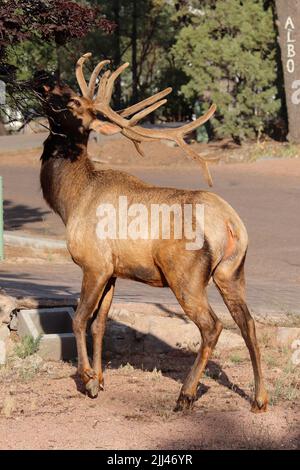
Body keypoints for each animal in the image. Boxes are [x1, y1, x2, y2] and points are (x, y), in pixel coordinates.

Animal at [32, 54, 268, 412]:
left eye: (72, 101)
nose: (42, 76)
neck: (69, 199)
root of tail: (231, 224)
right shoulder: (113, 270)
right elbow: (100, 325)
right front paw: (100, 379)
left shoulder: (94, 263)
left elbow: (79, 319)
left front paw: (87, 379)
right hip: (232, 271)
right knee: (248, 323)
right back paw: (259, 399)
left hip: (185, 274)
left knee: (212, 325)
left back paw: (185, 394)